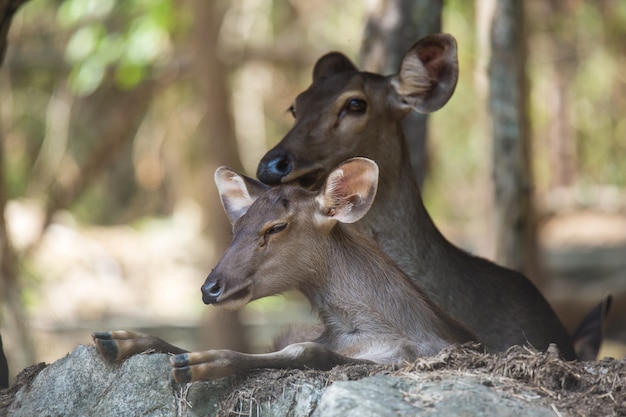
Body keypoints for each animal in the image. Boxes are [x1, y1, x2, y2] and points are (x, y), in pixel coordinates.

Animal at [92, 158, 472, 382]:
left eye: (276, 227)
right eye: (237, 226)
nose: (209, 288)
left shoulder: (413, 356)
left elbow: (306, 352)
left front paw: (200, 363)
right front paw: (122, 338)